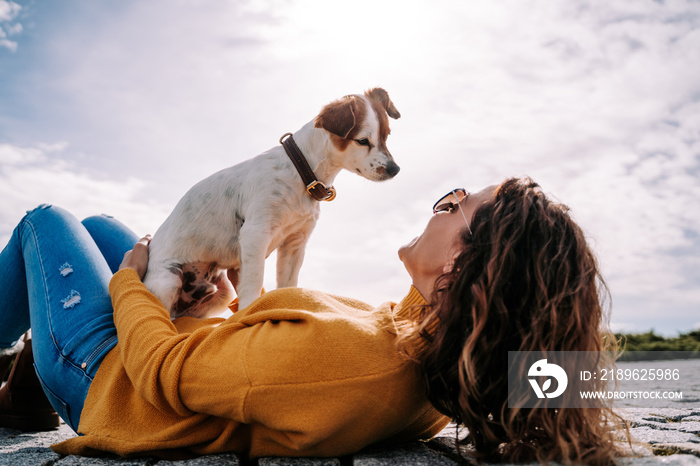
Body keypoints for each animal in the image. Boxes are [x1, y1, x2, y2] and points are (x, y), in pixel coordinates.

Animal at [143, 88, 402, 316]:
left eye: (387, 135)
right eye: (362, 141)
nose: (395, 170)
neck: (301, 172)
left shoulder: (295, 243)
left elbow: (287, 286)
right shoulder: (255, 234)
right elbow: (253, 285)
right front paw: (247, 315)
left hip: (219, 295)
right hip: (168, 280)